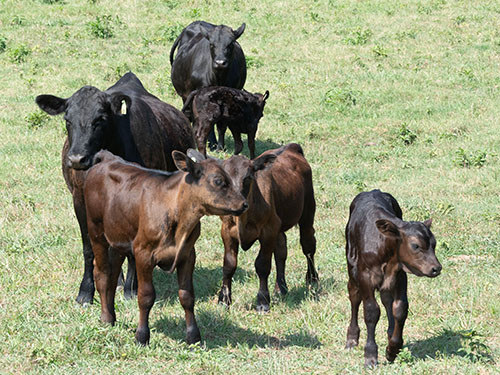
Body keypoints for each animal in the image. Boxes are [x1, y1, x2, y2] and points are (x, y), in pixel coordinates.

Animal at [35, 71, 194, 306]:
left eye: (100, 119)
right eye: (67, 120)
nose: (77, 159)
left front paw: (132, 289)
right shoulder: (80, 200)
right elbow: (89, 248)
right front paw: (85, 292)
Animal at [84, 150, 248, 346]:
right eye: (218, 181)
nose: (244, 204)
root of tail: (107, 158)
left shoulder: (187, 255)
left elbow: (187, 296)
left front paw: (193, 337)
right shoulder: (143, 253)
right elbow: (146, 296)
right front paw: (142, 336)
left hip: (118, 238)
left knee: (113, 273)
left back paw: (112, 315)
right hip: (95, 230)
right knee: (102, 273)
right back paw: (106, 318)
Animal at [171, 21, 247, 149]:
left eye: (231, 44)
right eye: (211, 44)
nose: (220, 62)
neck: (219, 78)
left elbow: (222, 124)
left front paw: (220, 147)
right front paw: (212, 144)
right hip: (186, 95)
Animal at [197, 142, 318, 312]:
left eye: (248, 177)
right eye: (221, 180)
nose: (236, 202)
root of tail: (291, 147)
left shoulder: (268, 231)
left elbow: (262, 265)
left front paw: (262, 301)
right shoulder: (227, 231)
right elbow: (229, 265)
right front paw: (224, 300)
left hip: (307, 212)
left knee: (308, 246)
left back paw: (312, 279)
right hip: (279, 225)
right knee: (281, 249)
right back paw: (280, 288)